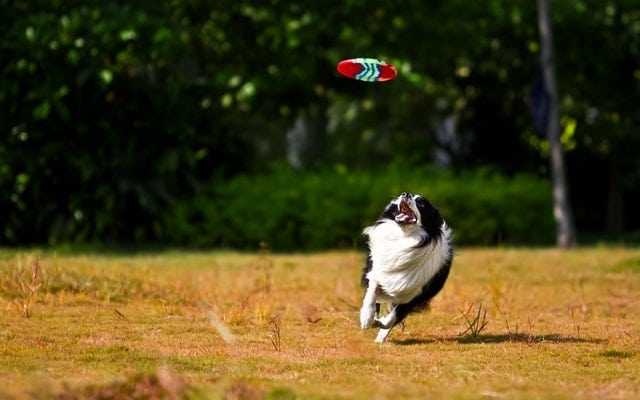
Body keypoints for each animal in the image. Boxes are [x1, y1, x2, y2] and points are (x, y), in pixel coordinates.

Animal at [360, 192, 456, 342]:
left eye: (421, 204)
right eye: (400, 197)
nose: (405, 194)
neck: (406, 237)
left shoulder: (417, 293)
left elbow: (394, 316)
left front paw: (381, 323)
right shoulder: (377, 271)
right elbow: (371, 293)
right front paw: (366, 318)